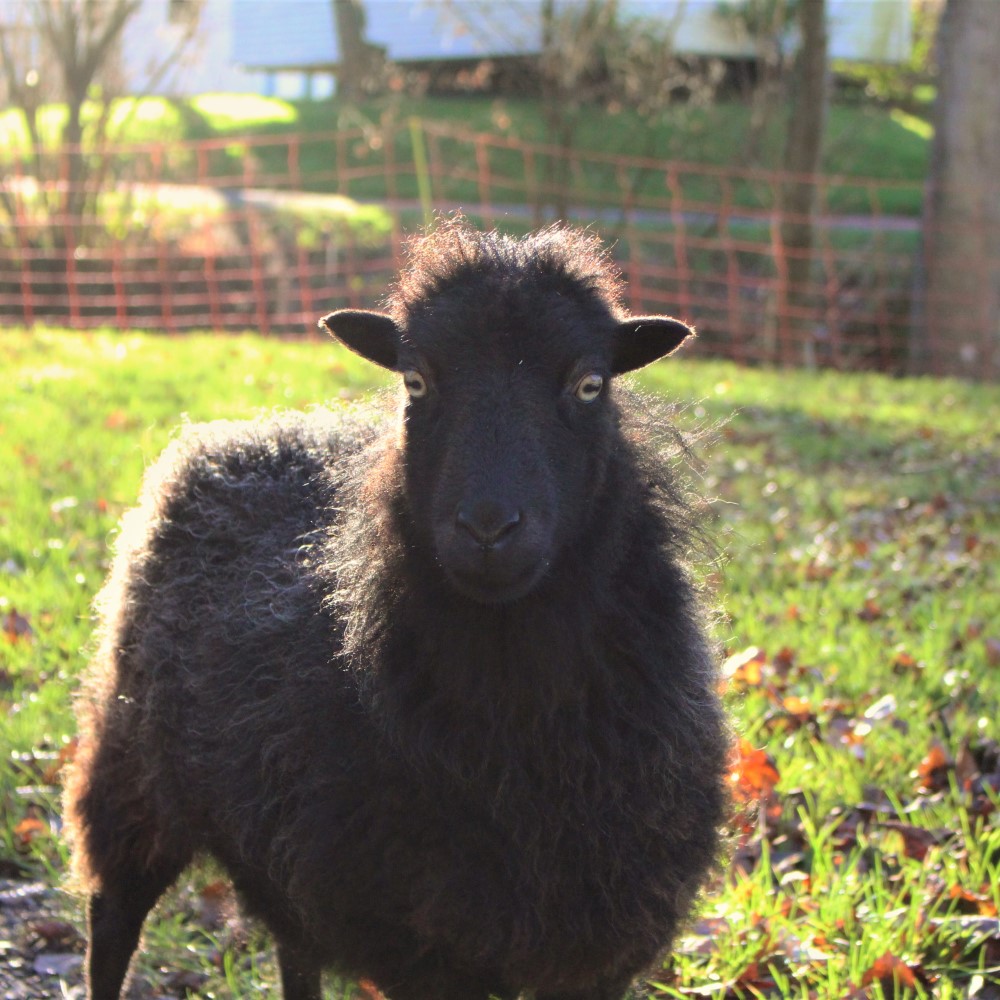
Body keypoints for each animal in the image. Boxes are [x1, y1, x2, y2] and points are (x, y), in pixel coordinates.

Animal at [66, 221, 732, 1000]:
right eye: (417, 380)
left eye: (589, 383)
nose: (487, 528)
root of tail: (235, 432)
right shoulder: (422, 948)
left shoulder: (601, 948)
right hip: (131, 768)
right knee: (113, 922)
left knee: (295, 948)